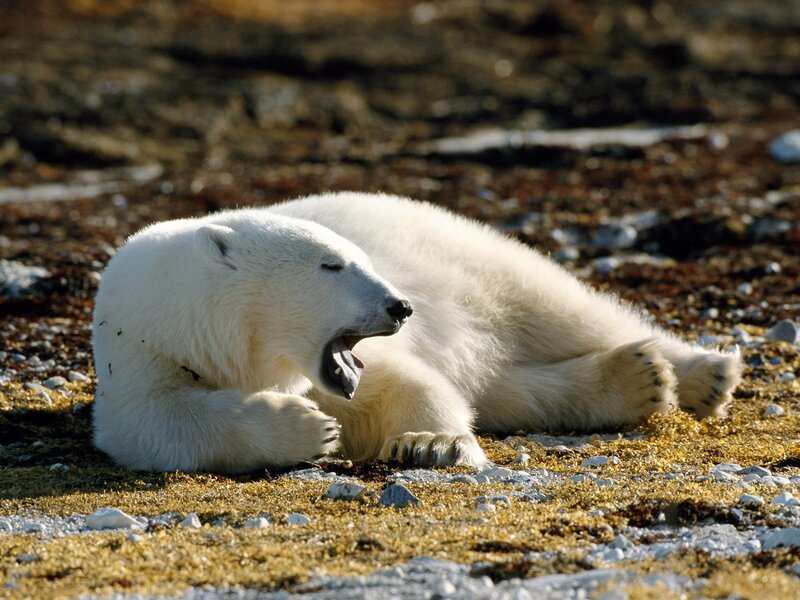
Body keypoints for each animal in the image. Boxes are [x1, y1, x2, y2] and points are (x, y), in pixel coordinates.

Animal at [92, 192, 741, 473]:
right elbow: (158, 426)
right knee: (512, 389)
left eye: (359, 257)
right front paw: (308, 429)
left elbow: (410, 385)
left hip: (471, 258)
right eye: (332, 265)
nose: (400, 306)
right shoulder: (143, 359)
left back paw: (702, 372)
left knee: (562, 309)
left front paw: (429, 444)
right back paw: (635, 379)